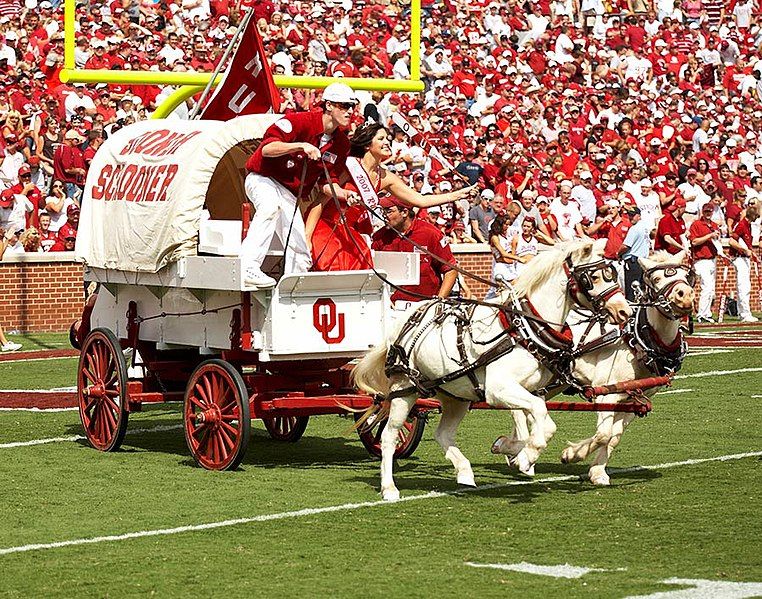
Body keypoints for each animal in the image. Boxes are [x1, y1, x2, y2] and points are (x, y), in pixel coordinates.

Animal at [354, 239, 628, 502]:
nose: (624, 310)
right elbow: (539, 416)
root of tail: (408, 315)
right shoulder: (499, 389)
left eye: (612, 273)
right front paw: (525, 456)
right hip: (405, 389)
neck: (524, 328)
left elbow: (540, 421)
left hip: (455, 395)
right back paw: (389, 487)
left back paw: (465, 472)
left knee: (443, 434)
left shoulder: (534, 390)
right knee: (389, 436)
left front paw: (513, 449)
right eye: (593, 277)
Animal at [496, 252, 692, 488]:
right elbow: (604, 434)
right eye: (656, 279)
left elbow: (615, 436)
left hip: (550, 382)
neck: (639, 340)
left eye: (686, 276)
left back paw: (516, 450)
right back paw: (514, 447)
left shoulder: (635, 399)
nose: (686, 296)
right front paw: (572, 454)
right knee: (516, 408)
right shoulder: (607, 394)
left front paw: (597, 471)